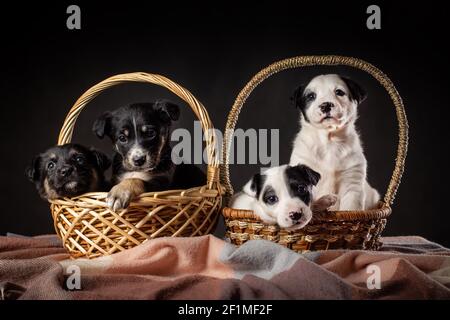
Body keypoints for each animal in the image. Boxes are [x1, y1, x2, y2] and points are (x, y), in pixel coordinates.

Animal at [288, 74, 380, 211]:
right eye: (311, 96)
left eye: (339, 92)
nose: (326, 105)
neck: (329, 141)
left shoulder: (353, 183)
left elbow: (350, 208)